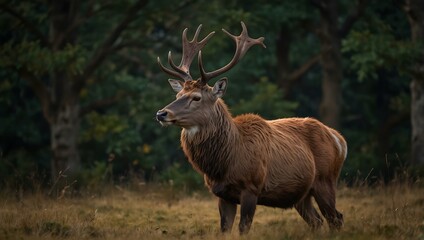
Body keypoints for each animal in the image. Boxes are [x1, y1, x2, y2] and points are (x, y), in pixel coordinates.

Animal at [156, 22, 348, 234]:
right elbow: (225, 229)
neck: (226, 162)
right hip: (302, 194)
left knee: (336, 218)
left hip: (326, 180)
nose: (161, 113)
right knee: (317, 221)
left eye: (196, 97)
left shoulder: (252, 186)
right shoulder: (221, 194)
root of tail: (339, 139)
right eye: (178, 95)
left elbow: (243, 228)